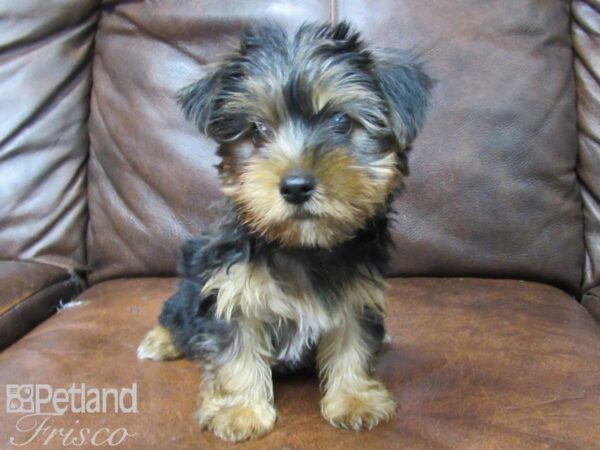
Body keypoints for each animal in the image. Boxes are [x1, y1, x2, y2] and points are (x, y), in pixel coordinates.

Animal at [139, 22, 432, 442]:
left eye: (341, 122)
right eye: (258, 130)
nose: (295, 186)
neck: (302, 247)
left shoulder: (357, 294)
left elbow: (353, 343)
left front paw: (355, 400)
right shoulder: (231, 292)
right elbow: (236, 351)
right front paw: (240, 411)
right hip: (193, 279)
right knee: (178, 313)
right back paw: (160, 341)